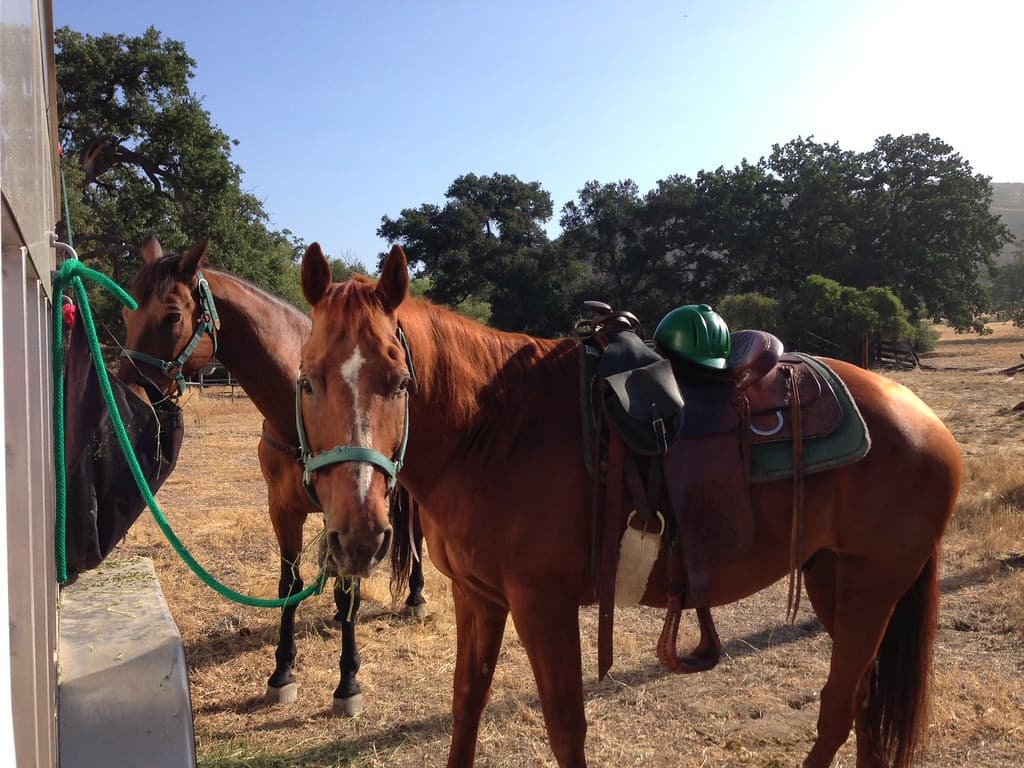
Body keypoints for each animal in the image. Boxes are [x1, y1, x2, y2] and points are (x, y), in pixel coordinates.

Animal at [117, 236, 426, 716]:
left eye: (171, 317)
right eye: (126, 315)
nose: (127, 388)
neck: (292, 417)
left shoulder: (353, 516)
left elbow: (350, 586)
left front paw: (348, 682)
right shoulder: (284, 509)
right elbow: (290, 584)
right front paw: (282, 672)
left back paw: (415, 596)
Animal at [295, 240, 961, 768]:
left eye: (400, 382)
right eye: (306, 380)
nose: (358, 536)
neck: (496, 430)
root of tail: (924, 417)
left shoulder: (544, 605)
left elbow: (566, 727)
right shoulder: (477, 598)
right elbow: (466, 706)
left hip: (874, 587)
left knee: (841, 707)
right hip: (834, 581)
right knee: (867, 705)